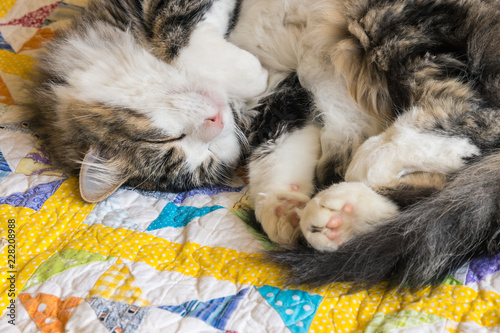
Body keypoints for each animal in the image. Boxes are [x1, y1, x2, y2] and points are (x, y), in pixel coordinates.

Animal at [25, 0, 500, 286]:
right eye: (202, 157)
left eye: (171, 138)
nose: (217, 122)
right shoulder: (286, 96)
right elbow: (276, 151)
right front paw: (281, 208)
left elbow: (185, 33)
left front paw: (238, 65)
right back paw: (340, 217)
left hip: (389, 20)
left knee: (478, 115)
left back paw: (377, 158)